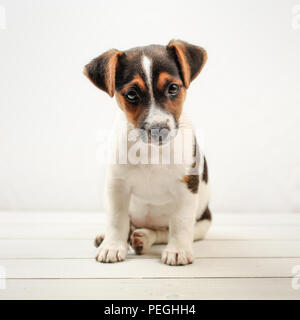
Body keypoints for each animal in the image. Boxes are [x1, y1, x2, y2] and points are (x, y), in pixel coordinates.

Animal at [84, 39, 211, 264]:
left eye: (173, 88)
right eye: (131, 94)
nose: (159, 130)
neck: (151, 152)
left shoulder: (187, 186)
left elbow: (179, 223)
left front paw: (178, 250)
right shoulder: (117, 186)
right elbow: (117, 219)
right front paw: (112, 245)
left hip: (202, 224)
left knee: (164, 231)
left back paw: (144, 237)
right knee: (128, 224)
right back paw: (110, 237)